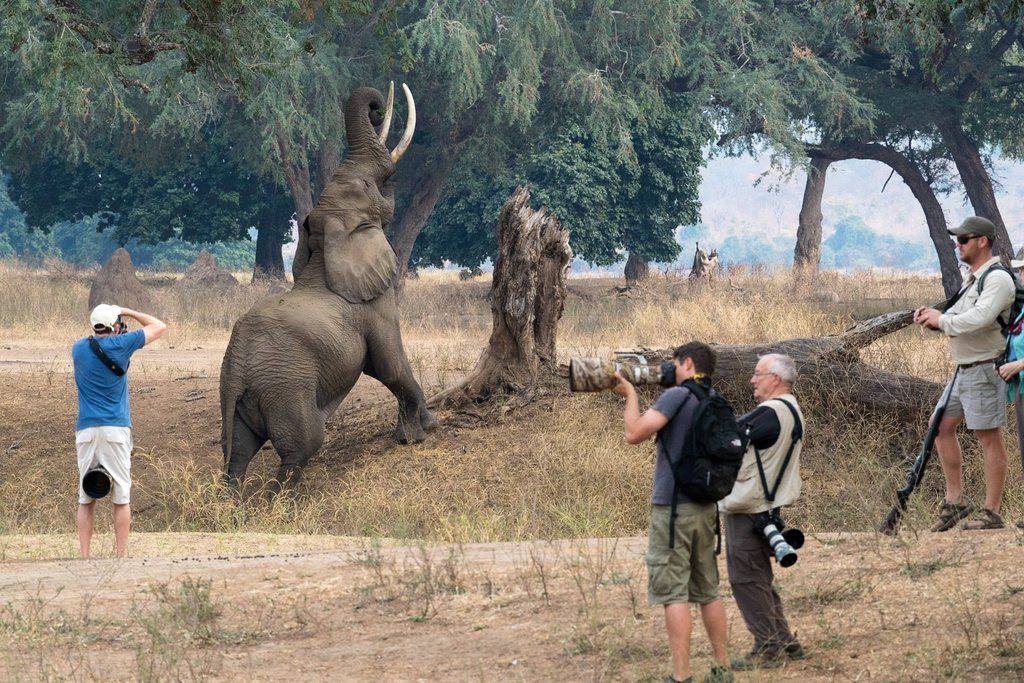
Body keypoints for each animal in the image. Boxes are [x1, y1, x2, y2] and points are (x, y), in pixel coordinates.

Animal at [219, 83, 437, 488]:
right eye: (369, 185)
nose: (376, 108)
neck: (328, 243)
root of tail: (237, 369)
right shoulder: (373, 305)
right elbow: (390, 364)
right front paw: (422, 433)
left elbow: (382, 367)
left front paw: (420, 429)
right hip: (287, 388)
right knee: (300, 446)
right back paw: (286, 500)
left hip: (240, 400)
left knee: (237, 455)